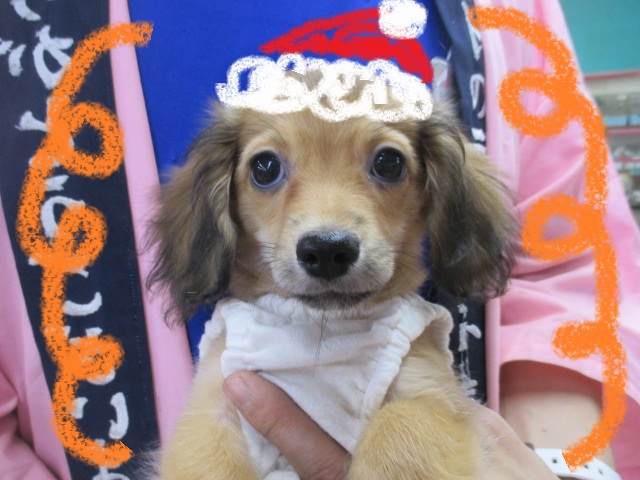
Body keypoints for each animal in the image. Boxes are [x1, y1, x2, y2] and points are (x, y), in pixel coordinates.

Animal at [147, 70, 516, 480]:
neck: (321, 330)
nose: (327, 251)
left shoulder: (426, 391)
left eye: (389, 162)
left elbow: (398, 434)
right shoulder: (214, 405)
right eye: (264, 167)